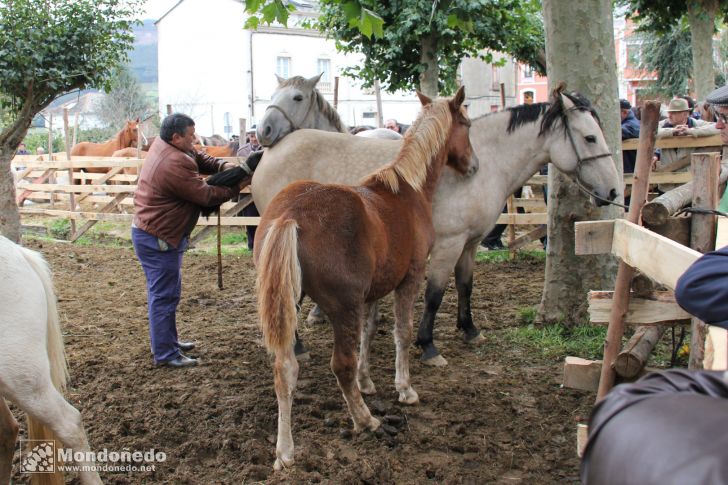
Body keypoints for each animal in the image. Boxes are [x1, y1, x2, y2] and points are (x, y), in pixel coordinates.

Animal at [252, 84, 620, 366]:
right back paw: (297, 346)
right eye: (590, 138)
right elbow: (434, 294)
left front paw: (469, 330)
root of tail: (268, 152)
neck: (488, 163)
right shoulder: (449, 244)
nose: (613, 191)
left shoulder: (470, 243)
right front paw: (428, 344)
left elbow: (465, 286)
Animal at [255, 87, 478, 468]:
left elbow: (370, 333)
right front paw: (404, 388)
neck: (407, 190)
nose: (473, 165)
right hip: (343, 307)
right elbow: (402, 333)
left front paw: (368, 381)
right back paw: (365, 420)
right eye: (466, 123)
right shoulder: (410, 278)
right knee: (339, 365)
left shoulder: (373, 290)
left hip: (289, 304)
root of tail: (290, 214)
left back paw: (285, 451)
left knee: (284, 368)